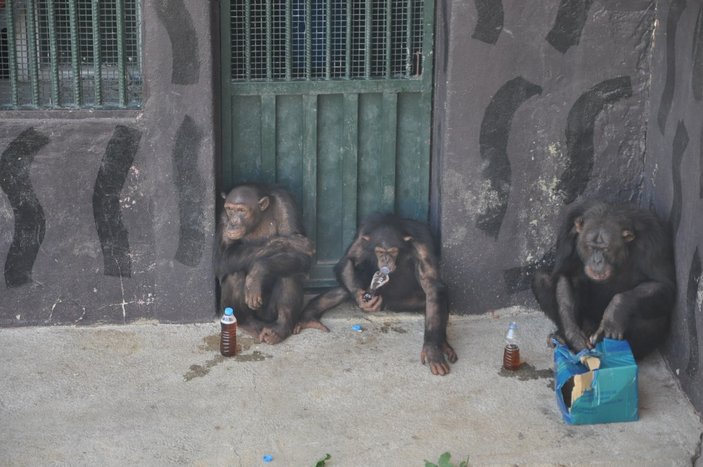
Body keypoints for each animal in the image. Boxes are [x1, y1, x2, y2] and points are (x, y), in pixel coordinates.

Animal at [214, 183, 314, 344]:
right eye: (230, 209)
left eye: (241, 210)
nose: (233, 222)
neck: (258, 219)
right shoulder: (223, 216)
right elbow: (223, 257)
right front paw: (289, 243)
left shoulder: (285, 203)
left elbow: (302, 256)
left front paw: (258, 272)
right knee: (234, 272)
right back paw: (248, 323)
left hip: (269, 314)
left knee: (291, 268)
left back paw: (281, 327)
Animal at [294, 213, 460, 376]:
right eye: (380, 251)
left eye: (392, 251)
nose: (385, 259)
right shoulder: (362, 238)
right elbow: (348, 260)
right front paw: (361, 299)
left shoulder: (422, 247)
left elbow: (431, 285)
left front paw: (432, 351)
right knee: (344, 288)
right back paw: (308, 317)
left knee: (436, 297)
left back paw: (442, 344)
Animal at [532, 200, 676, 358]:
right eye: (590, 247)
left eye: (606, 249)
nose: (597, 261)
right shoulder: (567, 230)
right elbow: (565, 274)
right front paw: (574, 336)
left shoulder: (654, 239)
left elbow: (663, 285)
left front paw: (614, 313)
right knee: (541, 278)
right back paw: (561, 337)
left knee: (652, 317)